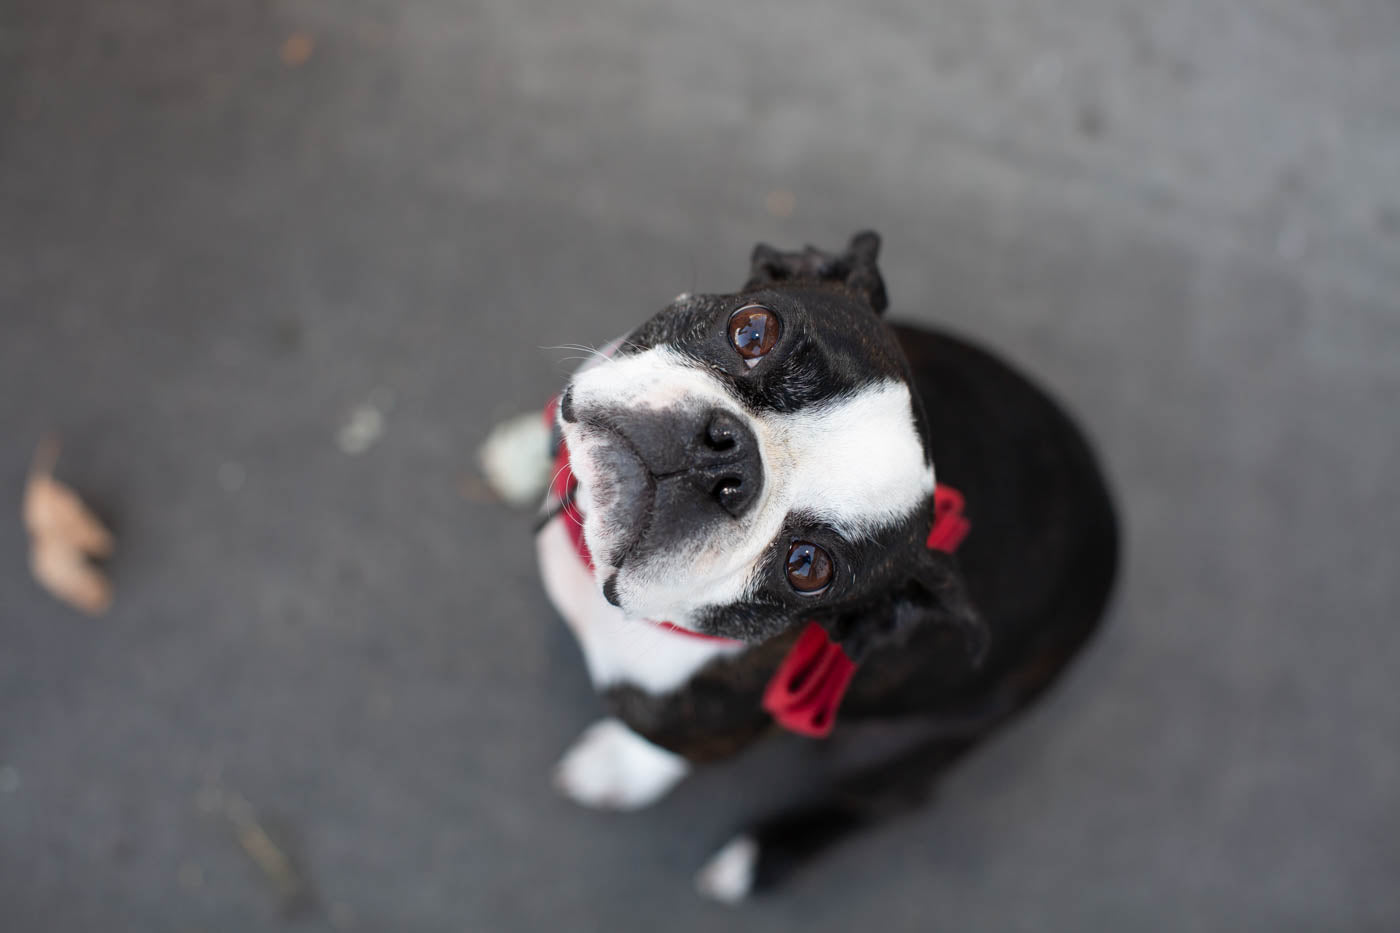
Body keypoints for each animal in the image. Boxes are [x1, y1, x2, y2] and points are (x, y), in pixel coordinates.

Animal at [487, 232, 1120, 902]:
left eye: (808, 567)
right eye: (752, 330)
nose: (727, 456)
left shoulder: (705, 729)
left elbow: (660, 749)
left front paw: (618, 767)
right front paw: (526, 452)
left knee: (885, 797)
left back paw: (760, 857)